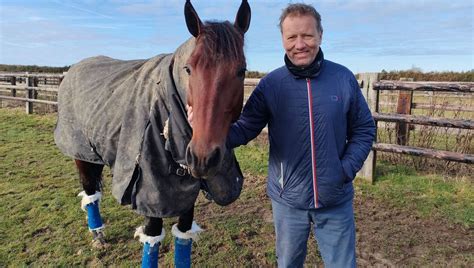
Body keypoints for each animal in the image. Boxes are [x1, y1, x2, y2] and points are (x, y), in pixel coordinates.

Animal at [53, 1, 250, 266]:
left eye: (241, 70)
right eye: (188, 69)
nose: (203, 157)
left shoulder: (186, 191)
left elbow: (183, 236)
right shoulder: (149, 192)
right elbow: (152, 240)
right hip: (81, 154)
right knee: (89, 190)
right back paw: (98, 236)